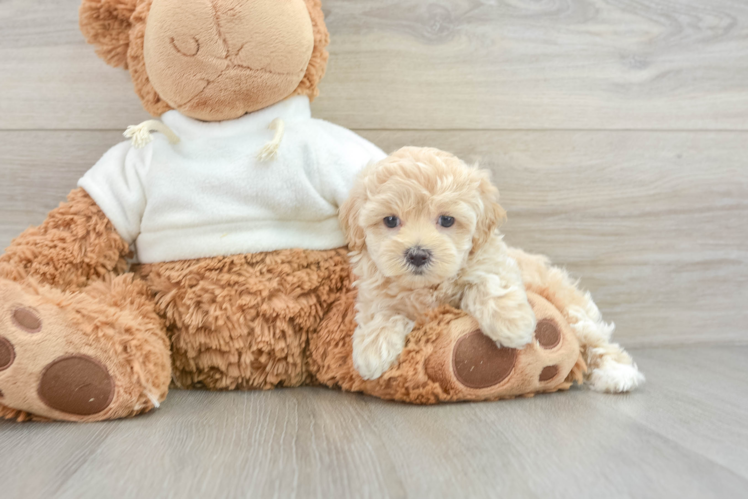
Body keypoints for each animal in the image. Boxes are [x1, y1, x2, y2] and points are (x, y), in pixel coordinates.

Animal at [338, 147, 536, 378]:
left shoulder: (490, 261)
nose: (417, 255)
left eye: (447, 220)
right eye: (390, 220)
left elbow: (489, 282)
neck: (426, 287)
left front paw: (511, 322)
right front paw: (373, 348)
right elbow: (381, 311)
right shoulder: (374, 291)